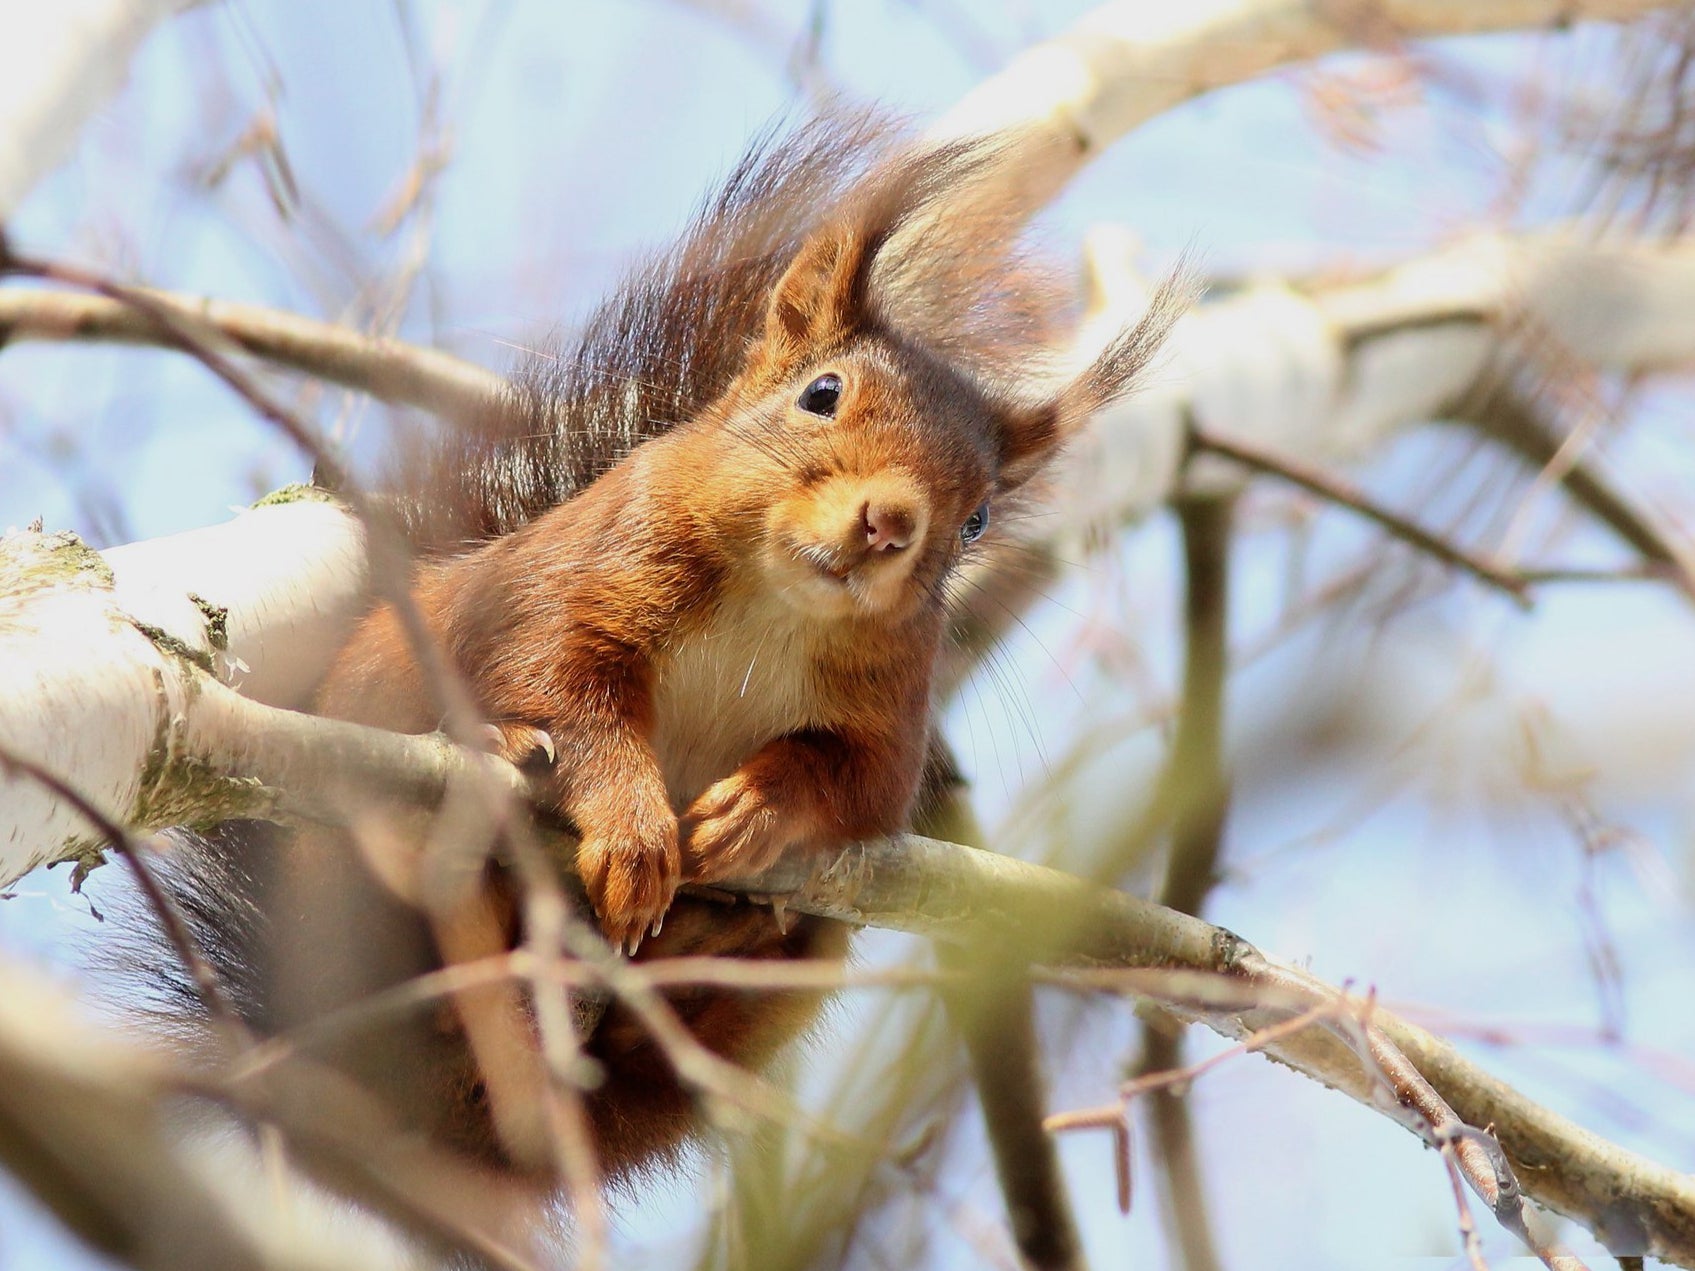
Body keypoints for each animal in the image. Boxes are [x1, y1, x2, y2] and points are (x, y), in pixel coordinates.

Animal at [145, 119, 1172, 1206]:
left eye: (975, 517)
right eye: (822, 393)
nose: (891, 521)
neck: (778, 605)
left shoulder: (891, 715)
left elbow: (855, 784)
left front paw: (754, 808)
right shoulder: (578, 579)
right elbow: (569, 683)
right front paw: (634, 827)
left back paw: (711, 937)